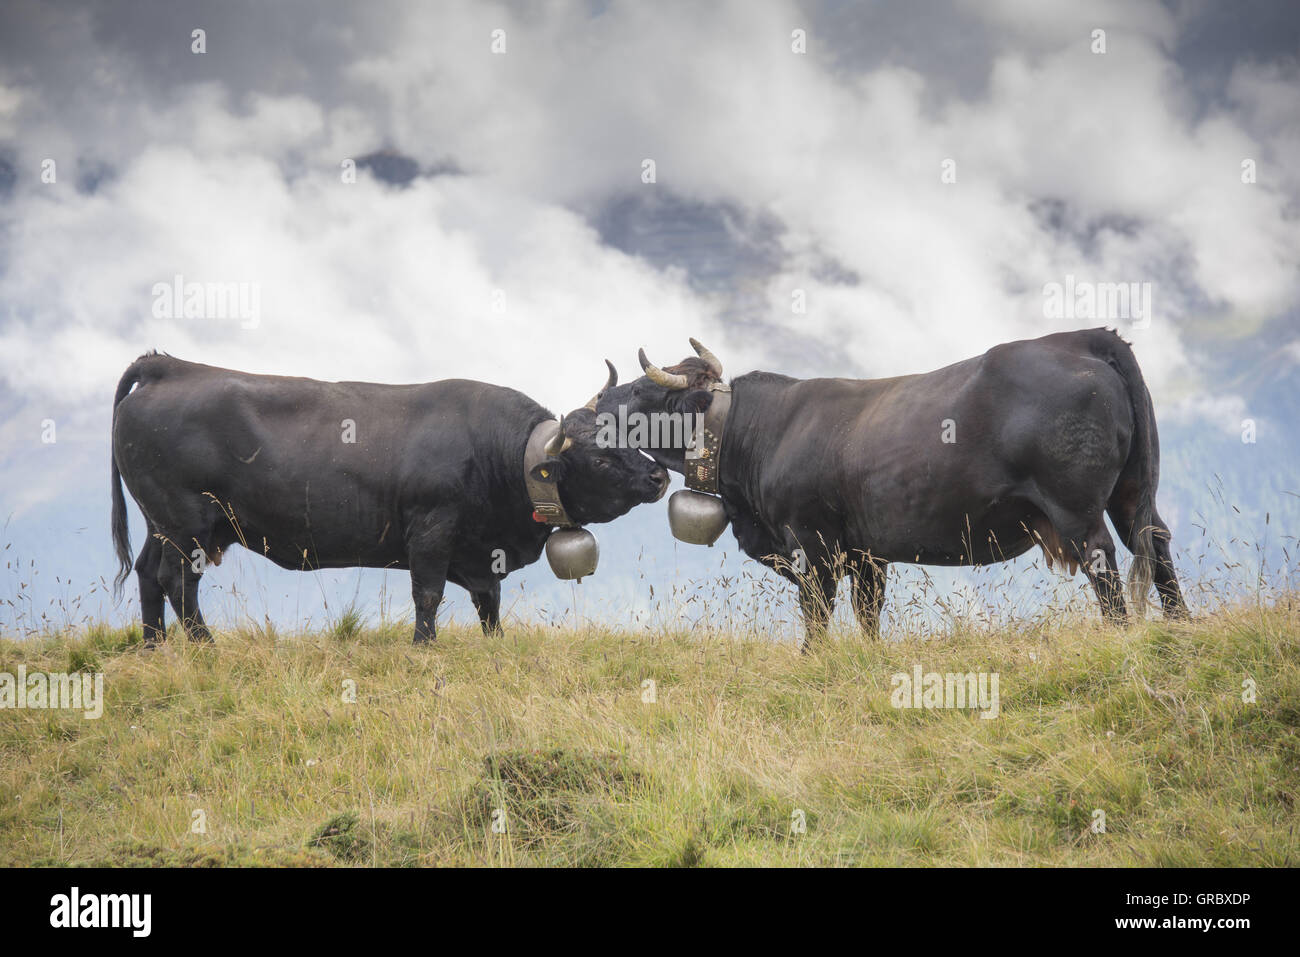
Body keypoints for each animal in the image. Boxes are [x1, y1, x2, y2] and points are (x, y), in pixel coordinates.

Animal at [111, 356, 670, 647]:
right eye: (601, 459)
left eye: (624, 435)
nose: (659, 474)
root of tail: (169, 365)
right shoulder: (432, 528)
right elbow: (428, 594)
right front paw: (425, 647)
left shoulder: (481, 553)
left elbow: (488, 600)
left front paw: (495, 645)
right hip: (186, 523)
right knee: (177, 581)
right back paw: (204, 647)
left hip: (162, 523)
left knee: (147, 574)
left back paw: (154, 647)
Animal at [598, 327, 1190, 642]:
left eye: (644, 392)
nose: (599, 398)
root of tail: (1080, 339)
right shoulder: (867, 551)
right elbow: (868, 611)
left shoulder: (813, 539)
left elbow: (817, 610)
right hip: (1131, 493)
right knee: (1157, 546)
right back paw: (1182, 626)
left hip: (1075, 507)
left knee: (1104, 563)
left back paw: (1122, 636)